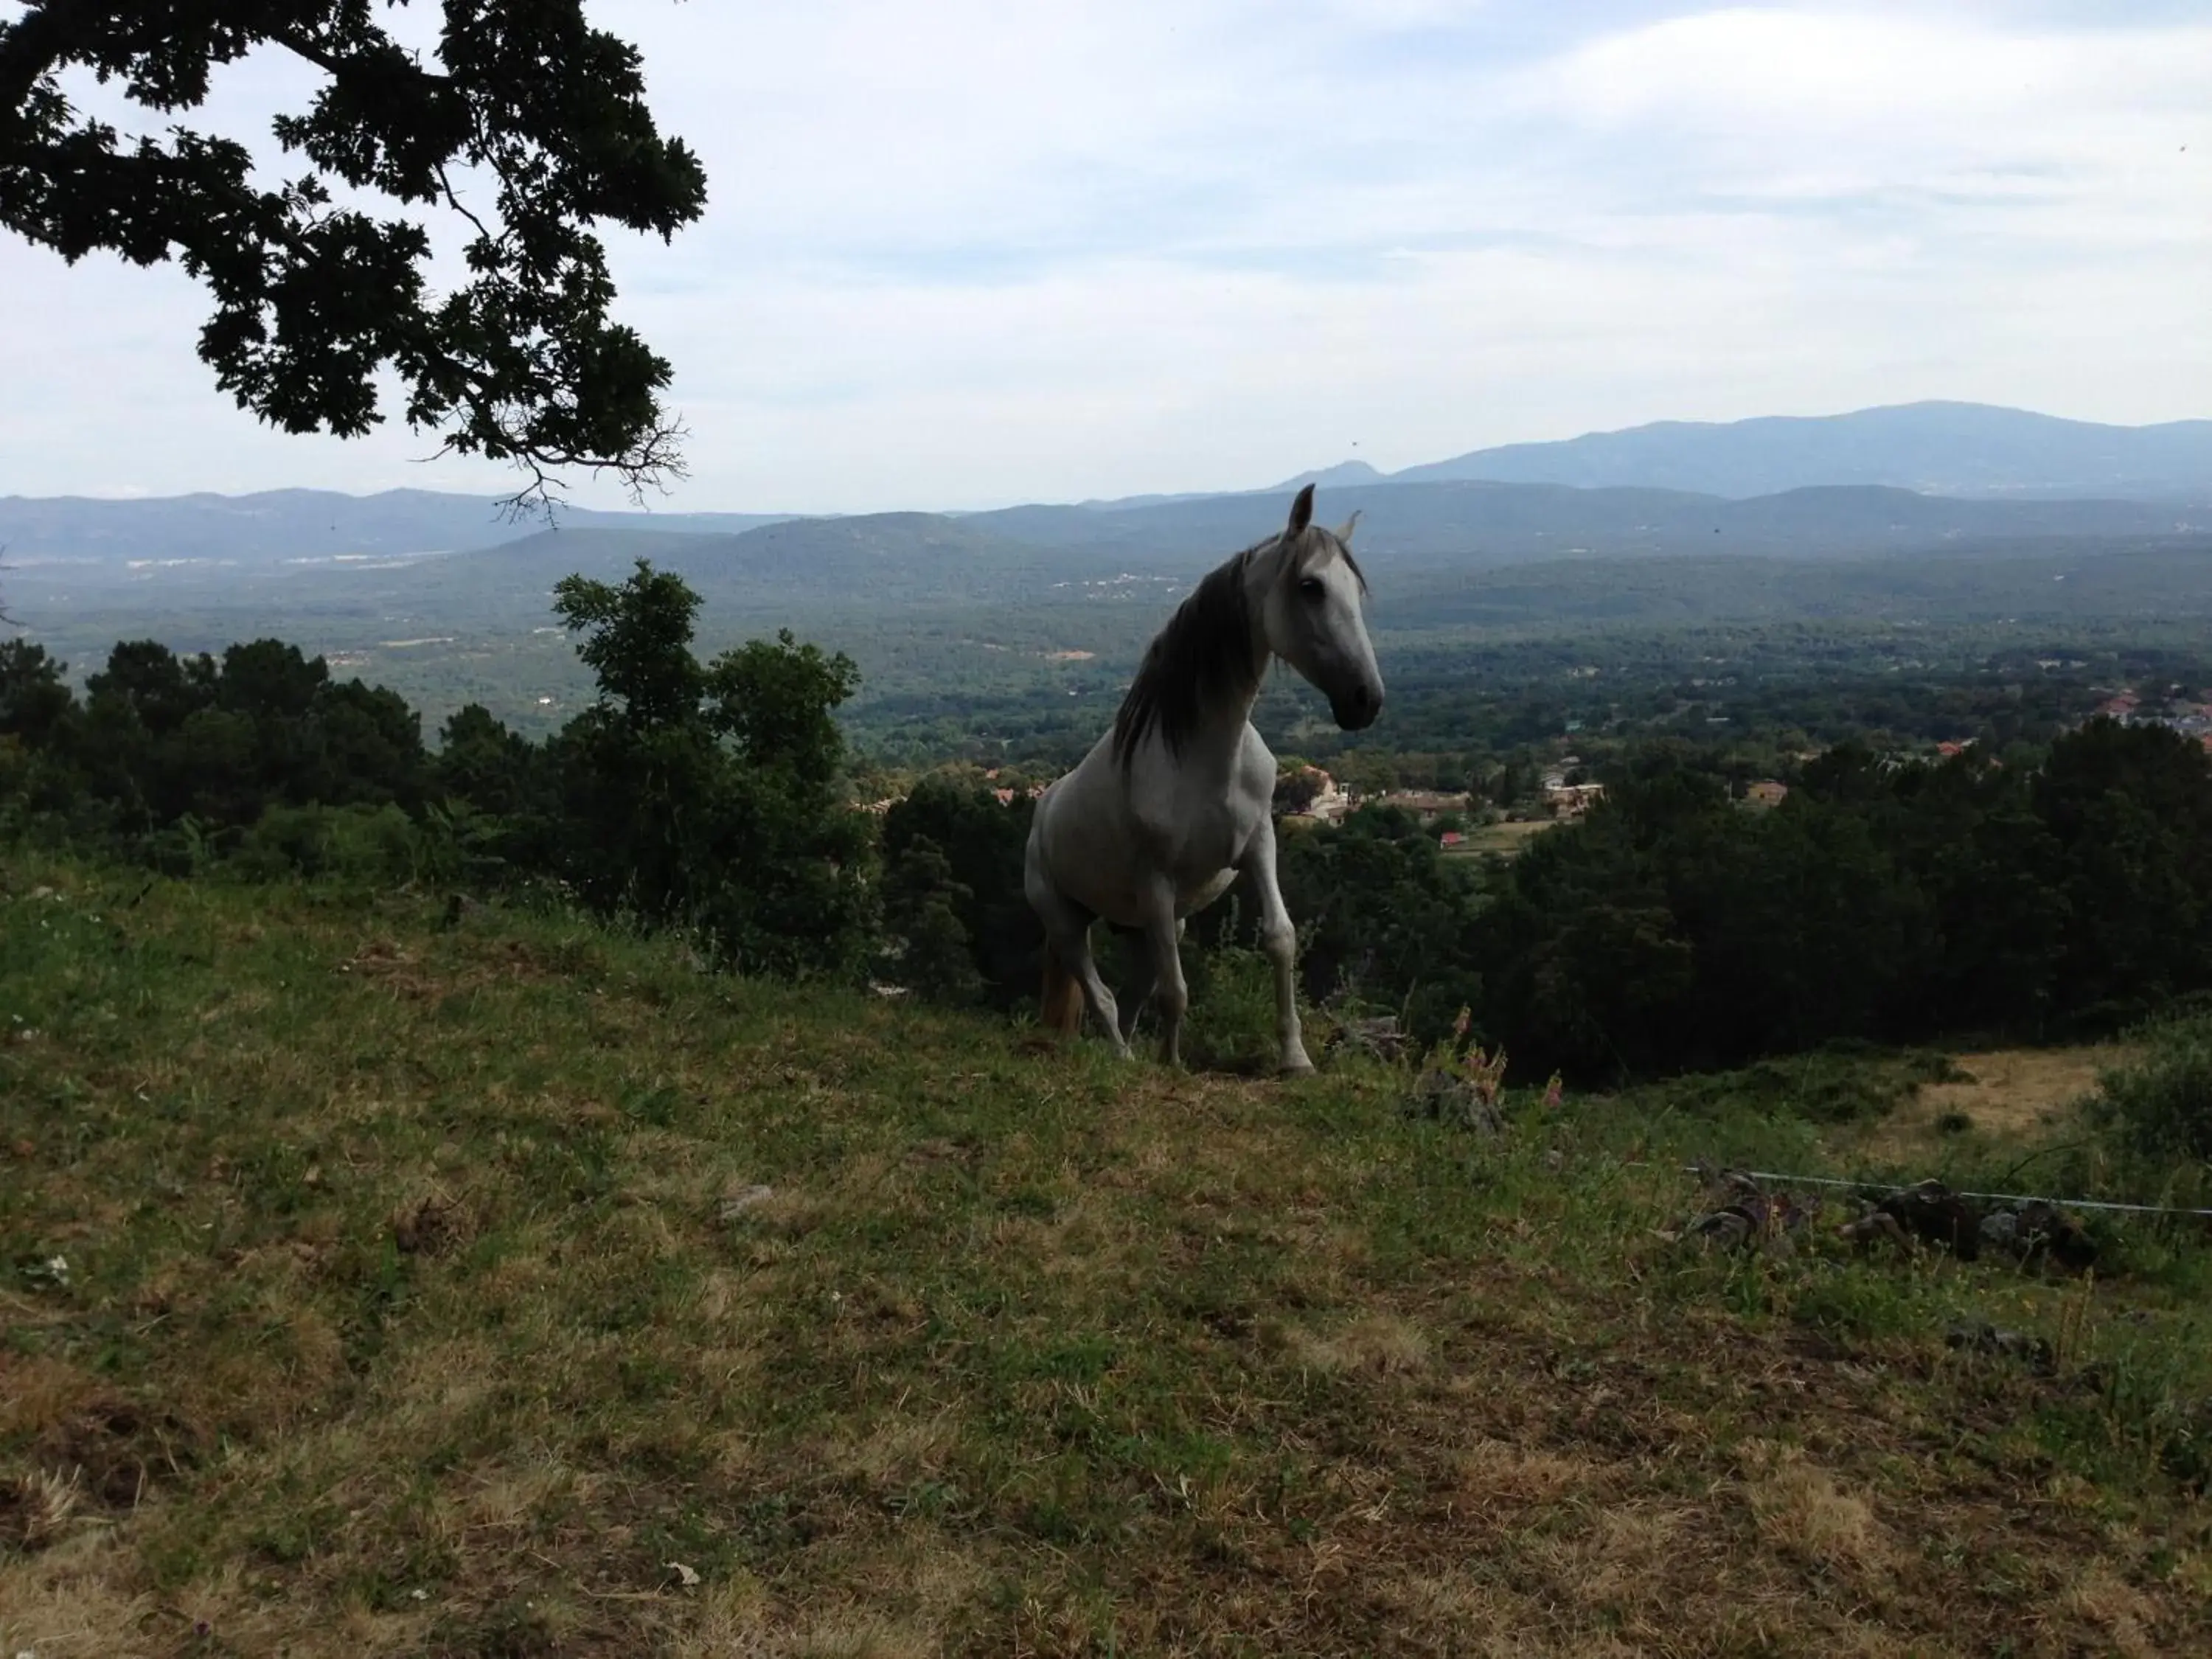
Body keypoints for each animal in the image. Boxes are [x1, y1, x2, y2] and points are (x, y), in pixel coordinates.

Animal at [1022, 487, 1371, 1071]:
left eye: (1358, 590)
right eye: (1311, 587)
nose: (1367, 699)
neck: (1208, 760)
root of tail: (1042, 812)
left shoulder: (1259, 847)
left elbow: (1280, 939)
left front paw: (1295, 1060)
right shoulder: (1157, 885)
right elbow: (1177, 990)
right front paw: (1174, 1065)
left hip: (1144, 924)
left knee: (1133, 992)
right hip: (1069, 922)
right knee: (1101, 993)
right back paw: (1126, 1059)